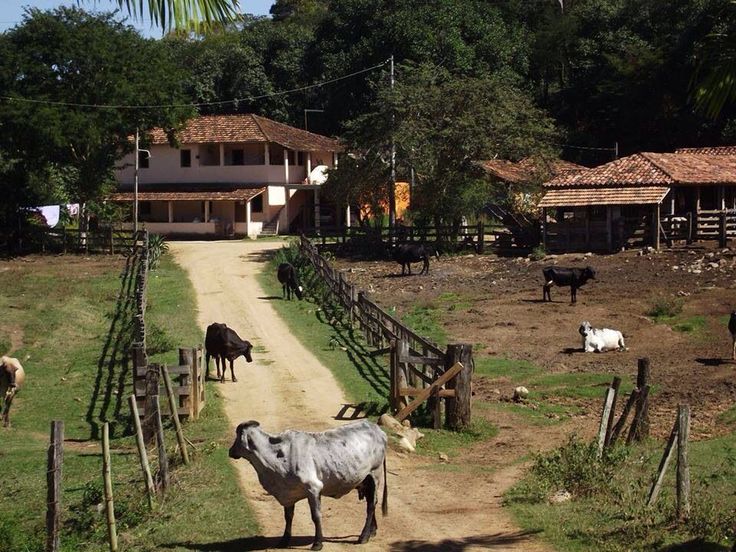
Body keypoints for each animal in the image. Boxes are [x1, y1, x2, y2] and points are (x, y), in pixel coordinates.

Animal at [229, 418, 392, 552]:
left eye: (237, 436)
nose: (230, 451)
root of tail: (377, 429)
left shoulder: (313, 489)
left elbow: (316, 516)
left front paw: (317, 543)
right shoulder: (289, 493)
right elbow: (288, 517)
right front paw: (284, 541)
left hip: (374, 474)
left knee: (371, 505)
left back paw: (363, 537)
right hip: (365, 480)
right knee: (371, 503)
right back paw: (372, 531)